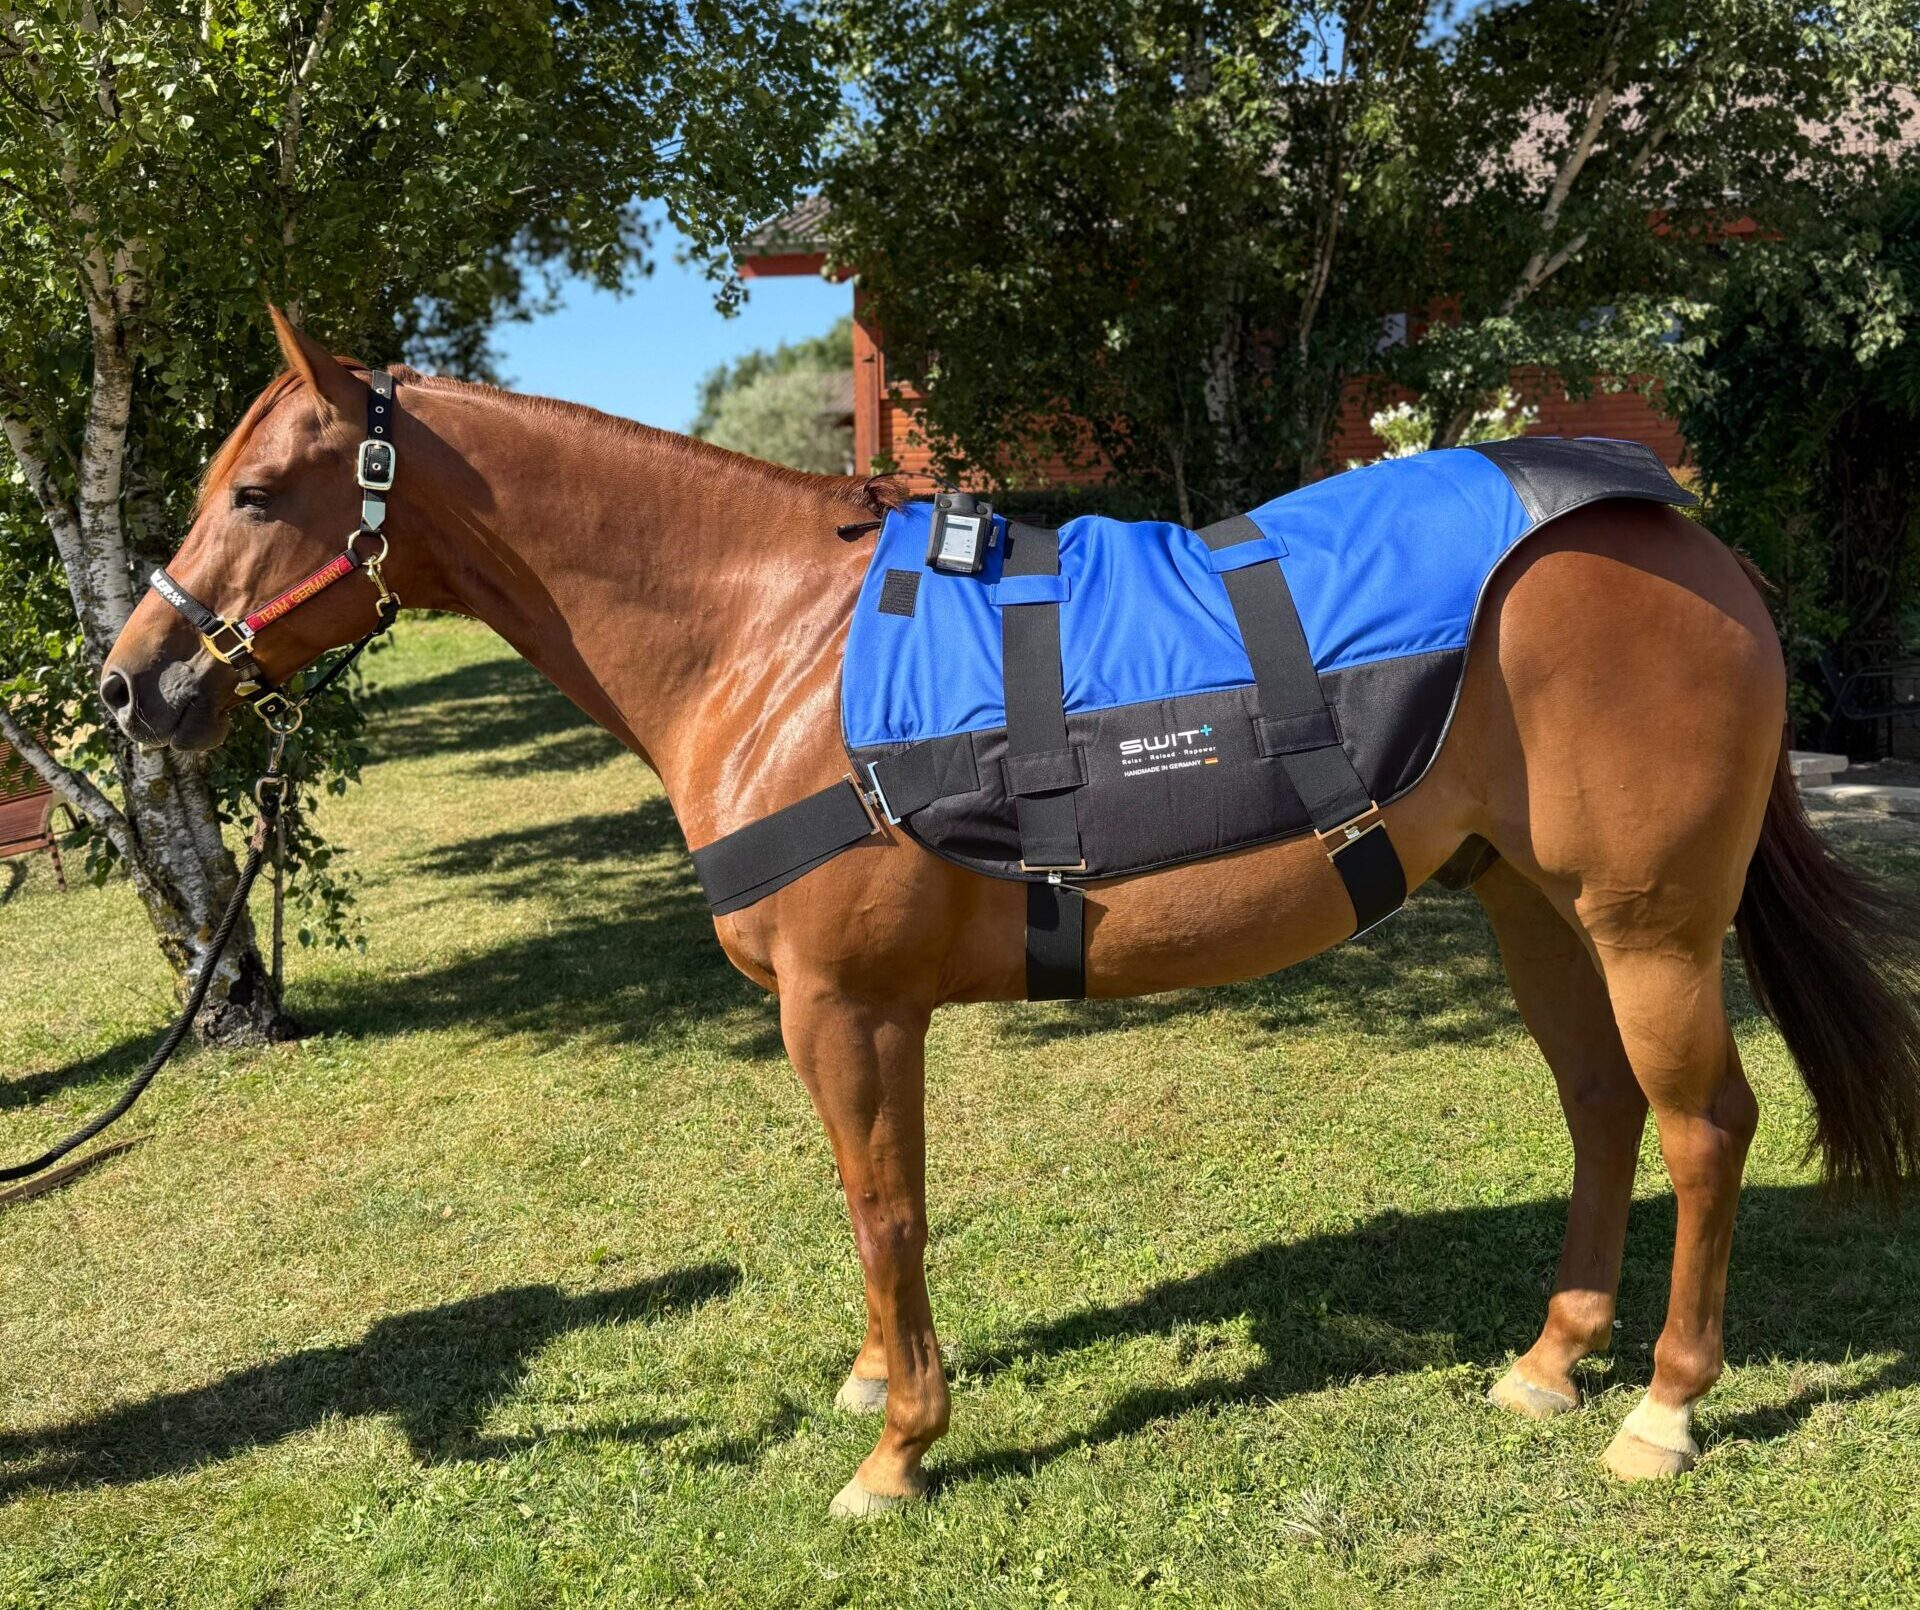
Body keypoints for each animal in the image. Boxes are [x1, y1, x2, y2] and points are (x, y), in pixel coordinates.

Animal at [101, 309, 1920, 1519]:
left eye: (256, 491)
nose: (134, 683)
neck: (771, 640)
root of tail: (1676, 533)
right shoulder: (858, 1015)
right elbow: (874, 1205)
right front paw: (877, 1387)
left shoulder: (843, 1007)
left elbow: (884, 1210)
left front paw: (897, 1448)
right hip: (1532, 905)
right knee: (1604, 1108)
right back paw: (1553, 1362)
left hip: (1649, 922)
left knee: (1703, 1127)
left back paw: (1662, 1411)